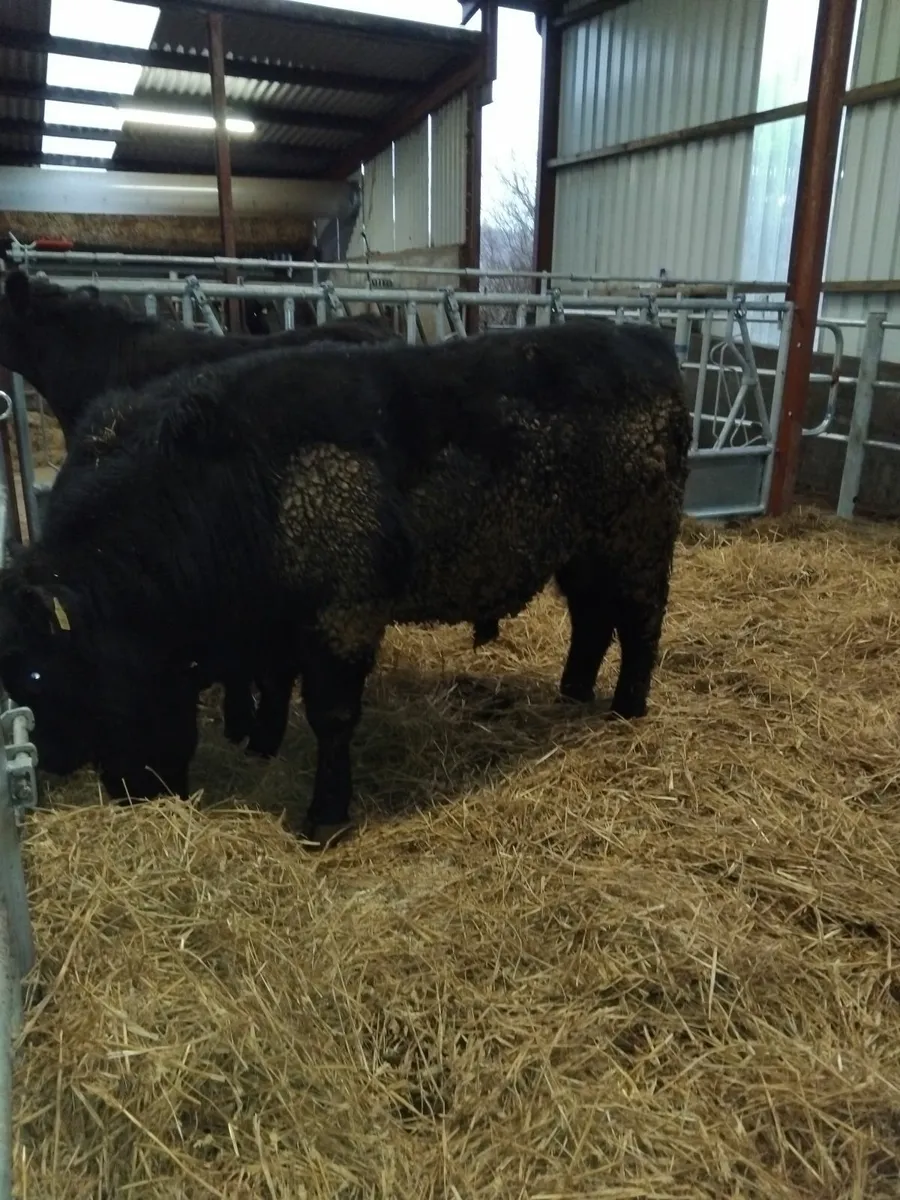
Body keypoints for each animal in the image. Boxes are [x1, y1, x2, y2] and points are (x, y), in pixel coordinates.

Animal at [0, 317, 691, 847]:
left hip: (638, 537)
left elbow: (331, 716)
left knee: (642, 620)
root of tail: (646, 339)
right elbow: (273, 681)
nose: (56, 762)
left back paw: (626, 709)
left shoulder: (342, 615)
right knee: (592, 619)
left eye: (38, 675)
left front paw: (324, 819)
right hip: (585, 549)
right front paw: (263, 745)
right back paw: (573, 693)